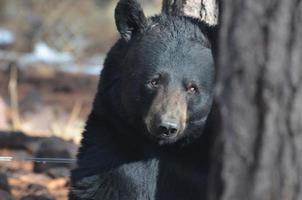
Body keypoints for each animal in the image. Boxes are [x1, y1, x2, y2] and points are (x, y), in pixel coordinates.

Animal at [70, 0, 217, 199]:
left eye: (192, 88)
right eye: (154, 81)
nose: (167, 127)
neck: (166, 148)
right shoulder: (115, 136)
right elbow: (100, 182)